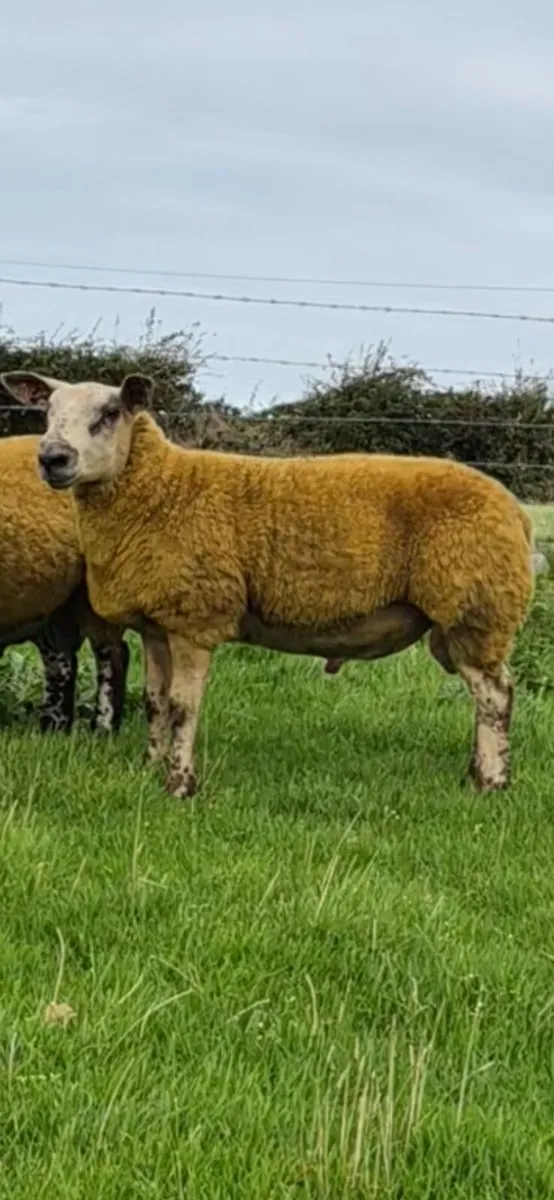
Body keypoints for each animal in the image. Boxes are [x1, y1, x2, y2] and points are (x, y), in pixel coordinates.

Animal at [0, 430, 129, 733]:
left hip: (93, 591)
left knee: (112, 654)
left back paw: (103, 728)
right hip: (54, 602)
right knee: (61, 660)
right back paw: (53, 727)